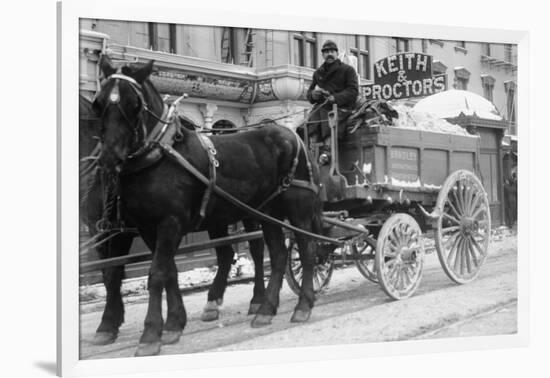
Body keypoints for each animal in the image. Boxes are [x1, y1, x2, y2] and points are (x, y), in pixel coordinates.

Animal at [78, 92, 266, 346]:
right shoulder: (105, 231)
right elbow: (118, 274)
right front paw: (114, 323)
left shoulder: (119, 232)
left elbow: (115, 274)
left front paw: (109, 322)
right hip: (217, 216)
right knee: (226, 253)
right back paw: (212, 303)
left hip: (250, 211)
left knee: (257, 247)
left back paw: (257, 299)